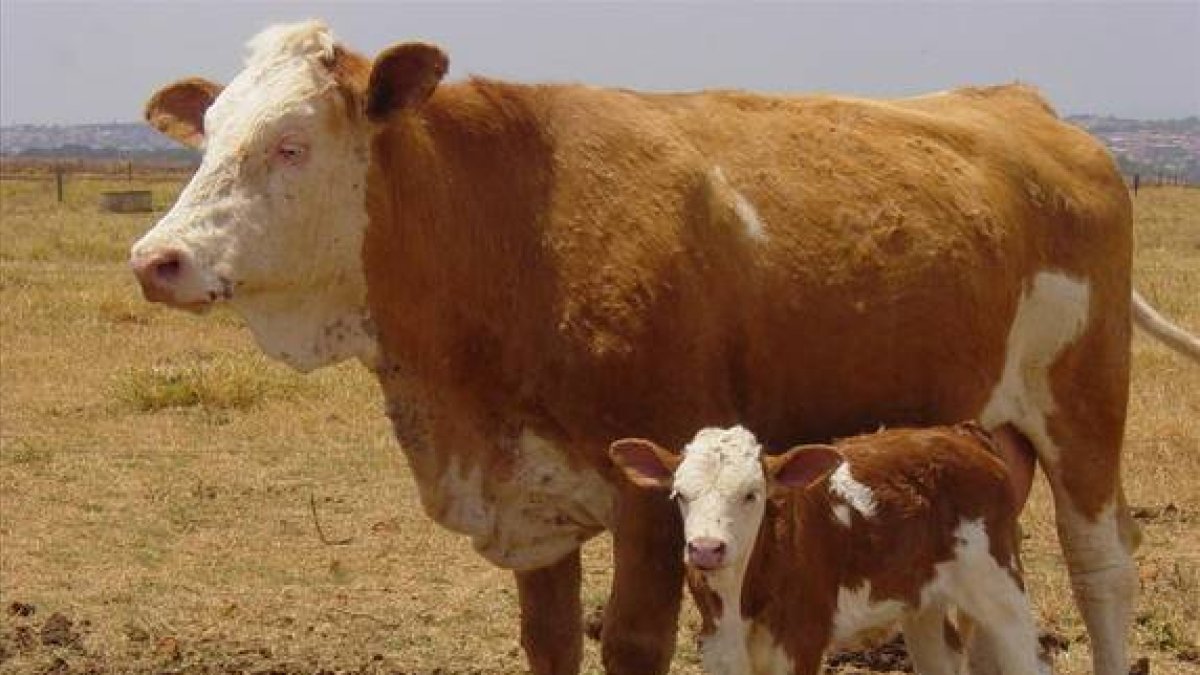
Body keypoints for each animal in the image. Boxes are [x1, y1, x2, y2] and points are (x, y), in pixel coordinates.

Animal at [610, 424, 1042, 675]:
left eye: (751, 495)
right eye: (680, 495)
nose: (705, 549)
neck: (744, 598)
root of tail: (961, 434)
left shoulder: (801, 644)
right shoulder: (720, 647)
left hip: (1000, 588)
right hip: (923, 603)